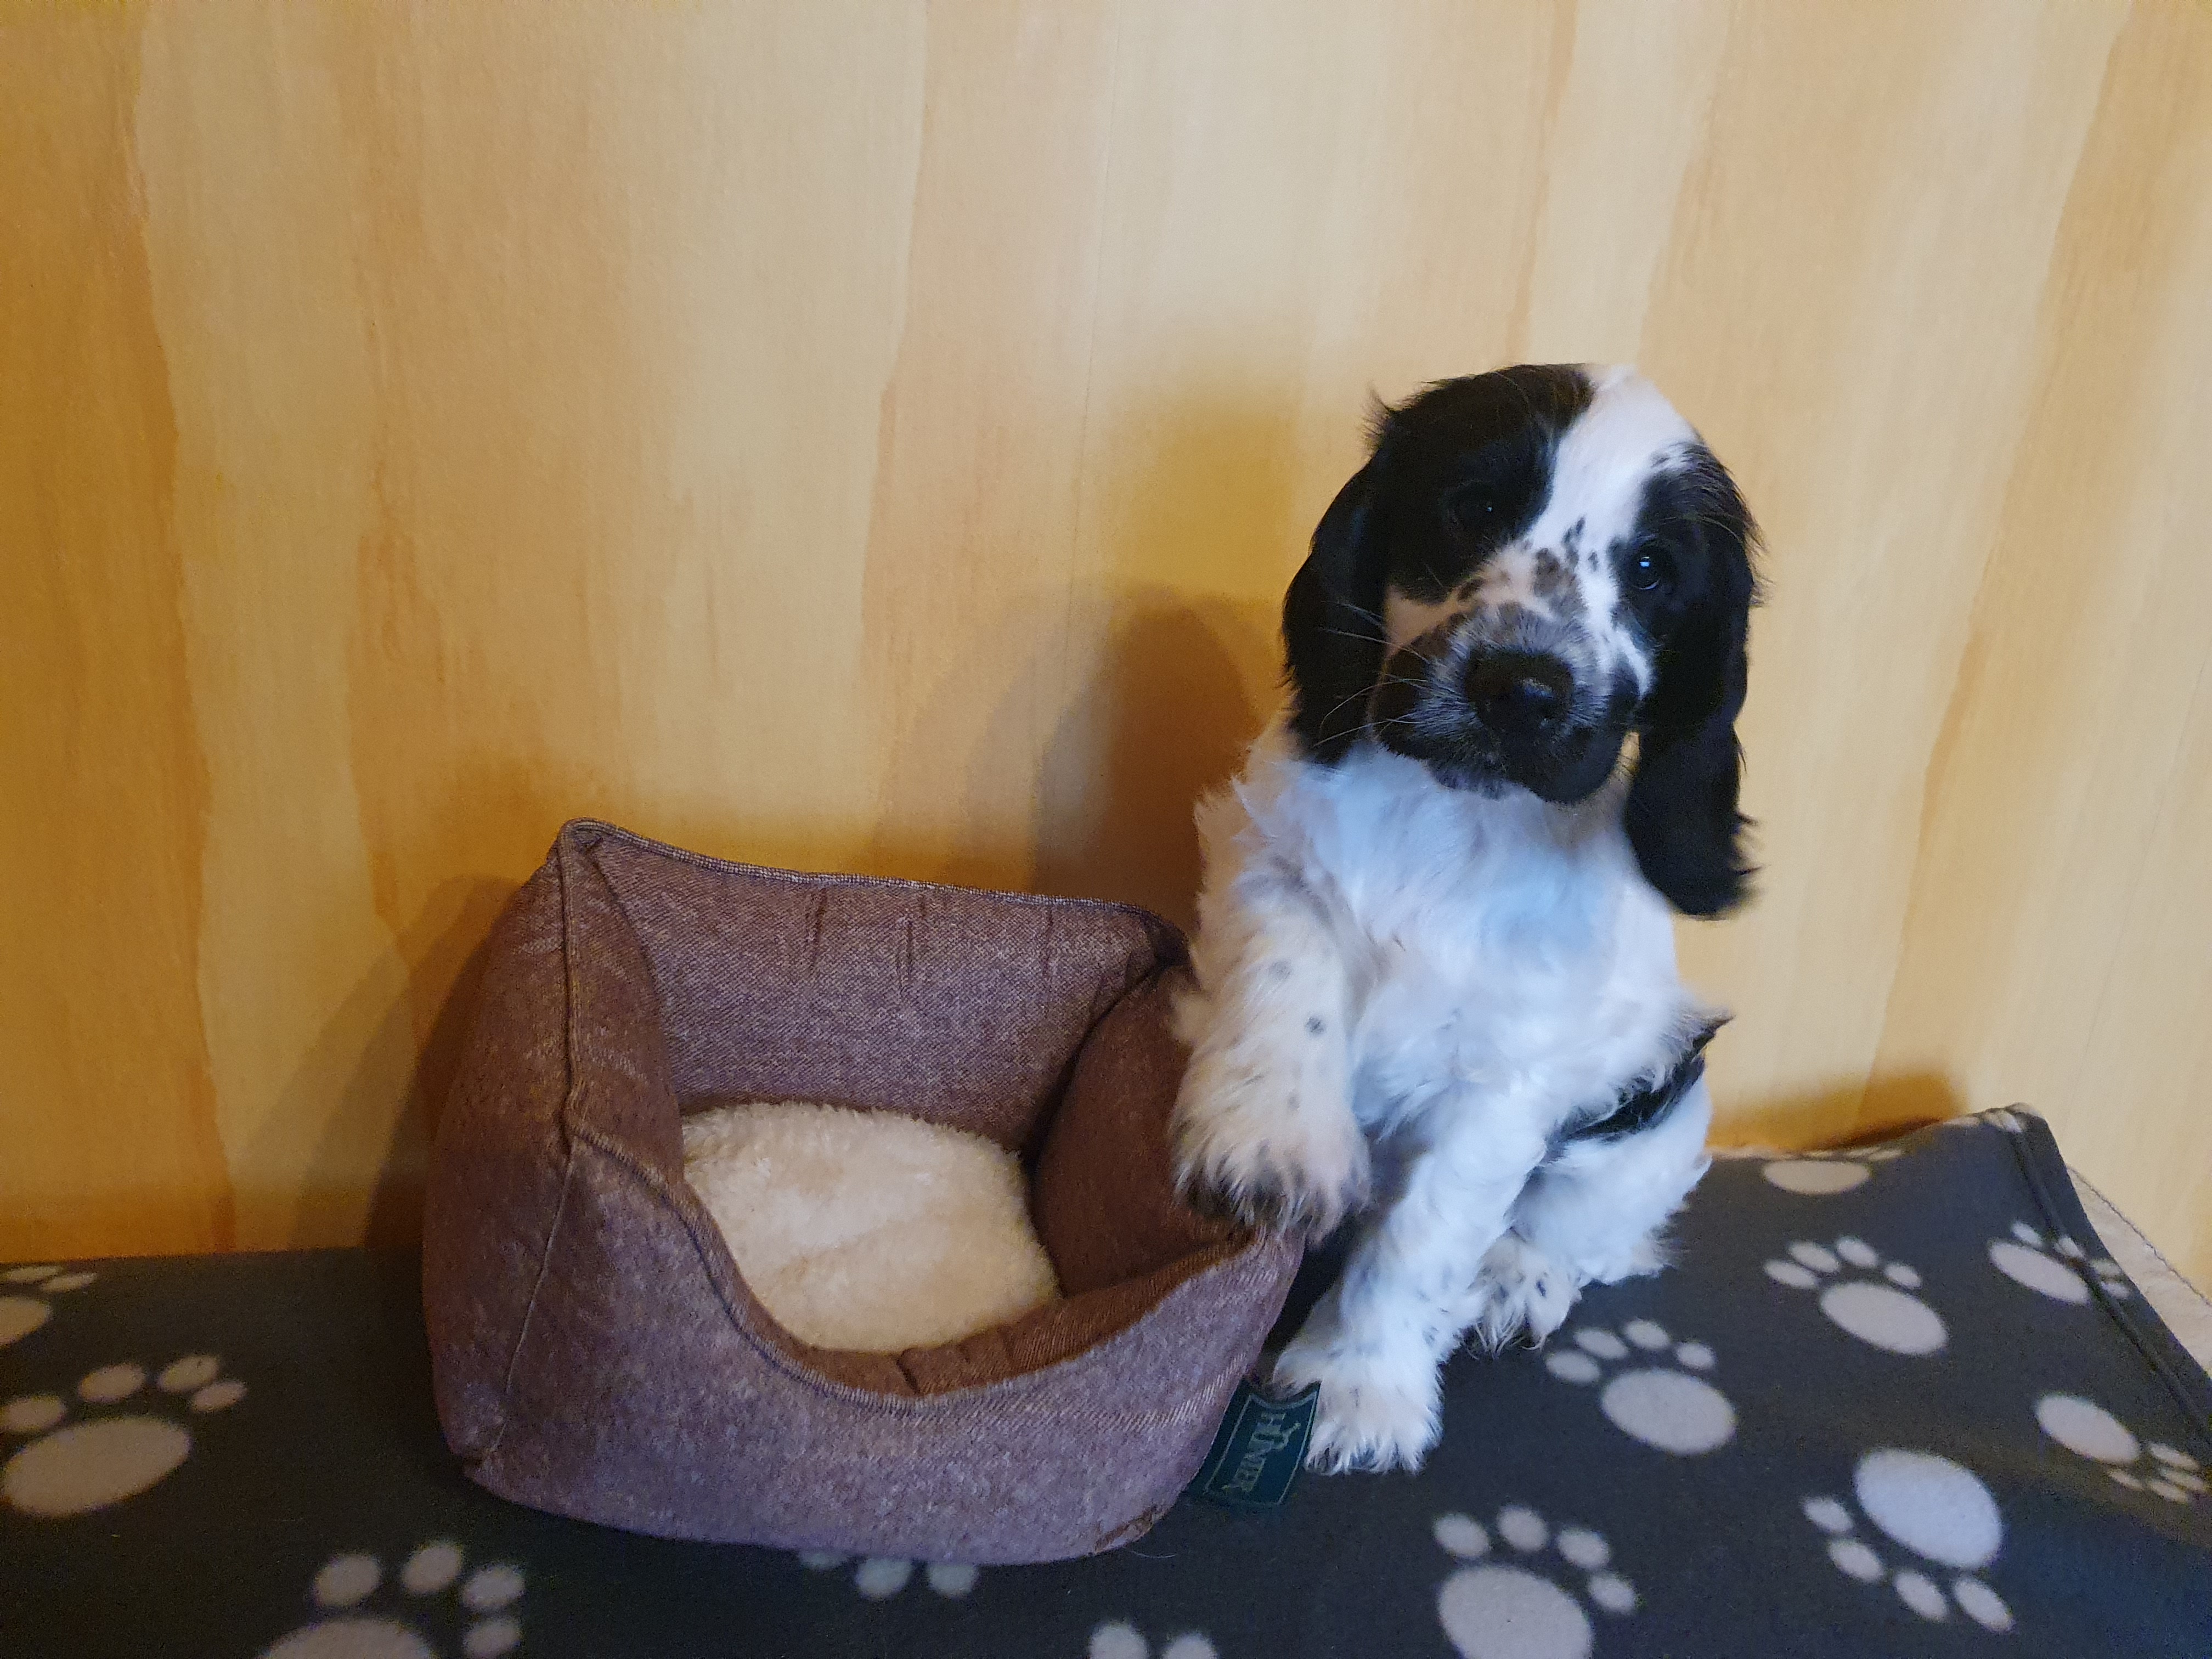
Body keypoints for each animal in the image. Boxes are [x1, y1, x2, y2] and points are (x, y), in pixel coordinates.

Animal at [1169, 363, 1758, 1473]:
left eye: (1652, 568)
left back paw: (1517, 1278)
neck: (1454, 812)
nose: (1521, 689)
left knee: (1593, 1232)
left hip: (1661, 1112)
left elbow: (1425, 1235)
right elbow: (1291, 974)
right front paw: (1273, 1143)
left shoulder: (1507, 1078)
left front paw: (1354, 1386)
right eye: (1475, 506)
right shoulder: (1270, 851)